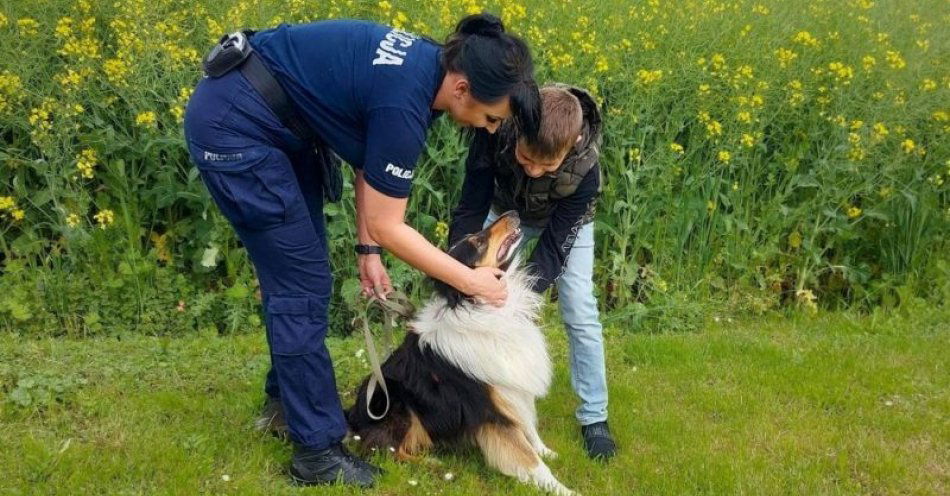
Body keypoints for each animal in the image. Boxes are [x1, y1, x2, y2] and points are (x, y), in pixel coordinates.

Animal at [348, 210, 576, 496]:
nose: (512, 213)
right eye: (477, 241)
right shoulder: (489, 408)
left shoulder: (512, 390)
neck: (479, 308)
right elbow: (528, 458)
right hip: (396, 402)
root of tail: (352, 416)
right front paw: (563, 489)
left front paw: (548, 451)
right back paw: (434, 464)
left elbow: (528, 428)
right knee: (384, 448)